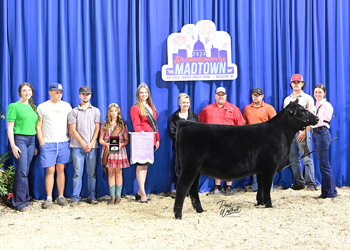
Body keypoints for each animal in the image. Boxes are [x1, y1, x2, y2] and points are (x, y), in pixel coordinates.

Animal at [174, 99, 318, 219]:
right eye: (302, 110)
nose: (316, 118)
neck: (280, 132)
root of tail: (187, 124)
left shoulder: (261, 169)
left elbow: (260, 185)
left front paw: (260, 202)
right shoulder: (270, 166)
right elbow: (266, 185)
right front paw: (269, 204)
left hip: (197, 169)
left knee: (193, 189)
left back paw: (199, 210)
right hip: (190, 167)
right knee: (182, 188)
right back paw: (178, 215)